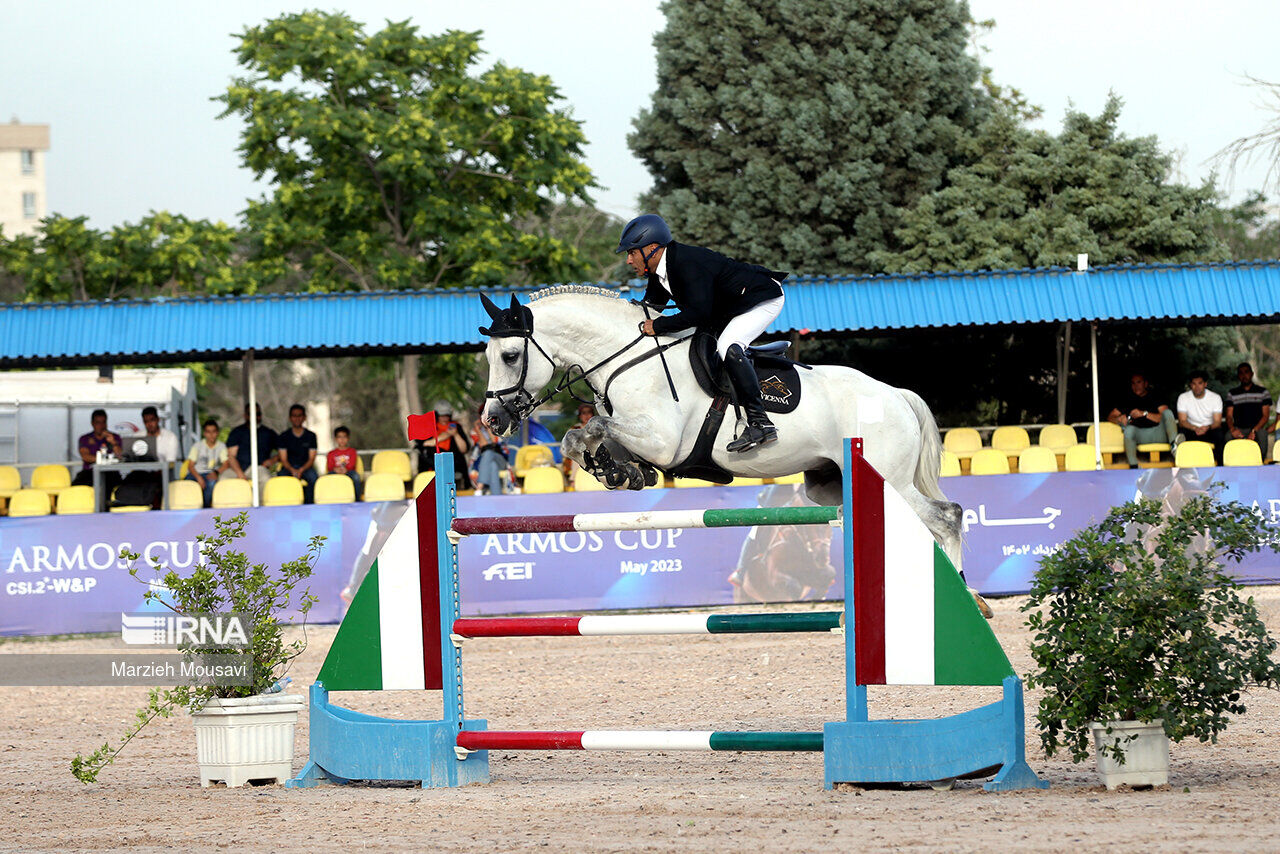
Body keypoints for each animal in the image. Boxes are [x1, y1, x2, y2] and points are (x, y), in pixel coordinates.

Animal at [478, 284, 962, 571]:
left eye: (510, 356)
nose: (493, 420)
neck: (624, 358)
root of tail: (896, 394)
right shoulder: (636, 432)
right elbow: (584, 437)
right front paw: (619, 471)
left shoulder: (663, 440)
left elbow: (592, 426)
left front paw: (610, 467)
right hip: (831, 484)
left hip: (890, 479)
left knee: (947, 517)